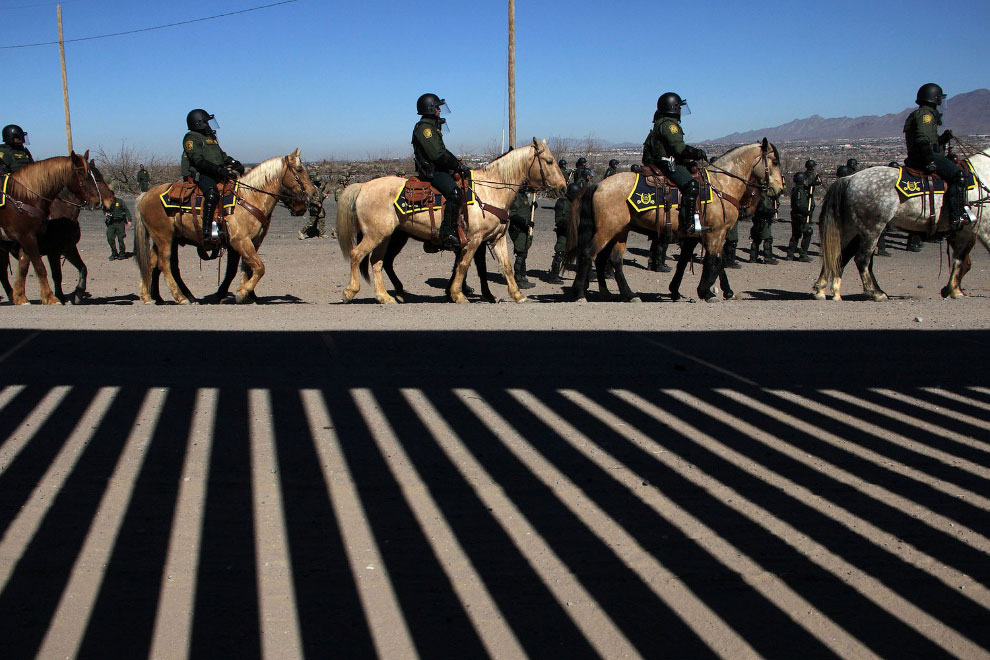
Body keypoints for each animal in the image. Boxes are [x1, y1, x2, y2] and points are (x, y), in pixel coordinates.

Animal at [0, 152, 112, 304]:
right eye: (88, 177)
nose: (110, 201)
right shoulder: (38, 243)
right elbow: (44, 269)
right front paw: (51, 297)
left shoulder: (66, 248)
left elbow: (24, 268)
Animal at [134, 148, 316, 302]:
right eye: (299, 170)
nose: (313, 193)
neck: (249, 197)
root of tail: (145, 195)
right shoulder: (240, 241)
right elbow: (258, 267)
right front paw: (241, 292)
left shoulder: (251, 242)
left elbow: (241, 269)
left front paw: (244, 295)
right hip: (164, 238)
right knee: (164, 264)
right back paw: (180, 297)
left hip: (164, 239)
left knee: (152, 262)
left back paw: (150, 296)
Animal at [336, 141, 564, 306]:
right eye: (549, 161)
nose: (563, 187)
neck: (489, 191)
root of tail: (363, 186)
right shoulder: (474, 240)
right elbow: (463, 265)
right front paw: (457, 294)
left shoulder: (496, 238)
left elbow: (505, 267)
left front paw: (517, 295)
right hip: (376, 235)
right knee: (357, 255)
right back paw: (350, 292)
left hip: (387, 236)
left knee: (378, 262)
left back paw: (387, 296)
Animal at [568, 142, 788, 304]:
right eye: (775, 161)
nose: (779, 190)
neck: (721, 185)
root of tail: (597, 185)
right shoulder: (716, 233)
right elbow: (715, 261)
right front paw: (707, 292)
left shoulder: (695, 235)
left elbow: (686, 263)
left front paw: (677, 291)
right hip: (607, 230)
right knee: (589, 254)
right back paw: (580, 294)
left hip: (619, 231)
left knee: (610, 260)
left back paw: (624, 294)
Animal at [812, 149, 990, 300]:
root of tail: (849, 179)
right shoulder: (982, 228)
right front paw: (953, 290)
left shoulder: (965, 232)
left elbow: (960, 260)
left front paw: (953, 290)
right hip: (872, 229)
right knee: (861, 259)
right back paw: (876, 293)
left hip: (850, 230)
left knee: (836, 255)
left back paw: (825, 290)